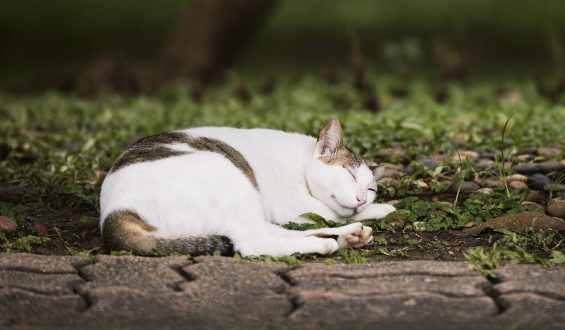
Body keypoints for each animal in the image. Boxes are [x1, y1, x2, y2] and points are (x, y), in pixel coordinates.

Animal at [99, 118, 394, 258]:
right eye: (349, 174)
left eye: (370, 190)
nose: (361, 198)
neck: (301, 159)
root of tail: (112, 214)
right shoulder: (293, 205)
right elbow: (332, 212)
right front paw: (379, 210)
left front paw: (378, 209)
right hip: (230, 179)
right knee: (253, 242)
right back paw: (327, 244)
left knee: (274, 232)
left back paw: (348, 236)